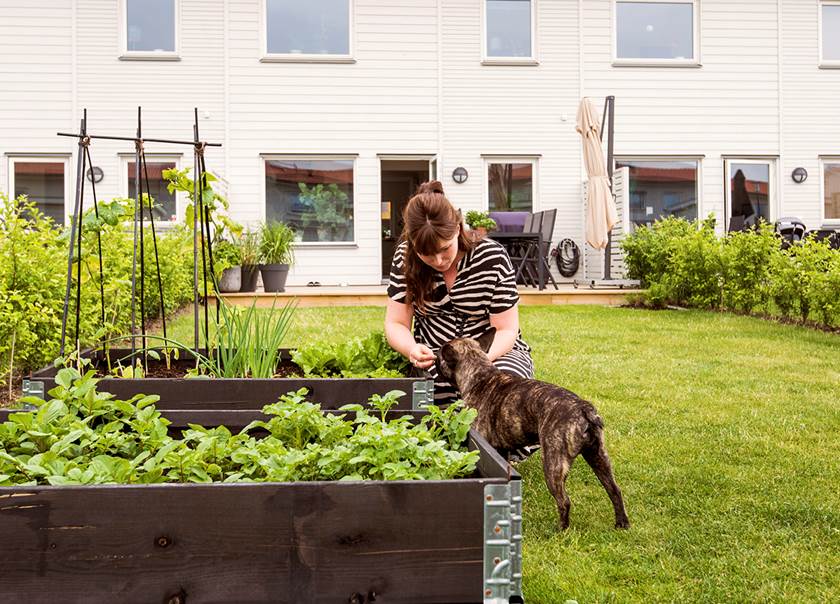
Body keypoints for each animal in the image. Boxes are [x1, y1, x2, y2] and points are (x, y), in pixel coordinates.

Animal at [436, 328, 628, 532]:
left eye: (439, 356)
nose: (434, 358)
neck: (480, 377)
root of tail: (583, 409)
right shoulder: (500, 451)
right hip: (598, 456)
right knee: (614, 490)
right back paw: (622, 523)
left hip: (553, 462)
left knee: (564, 501)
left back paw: (560, 531)